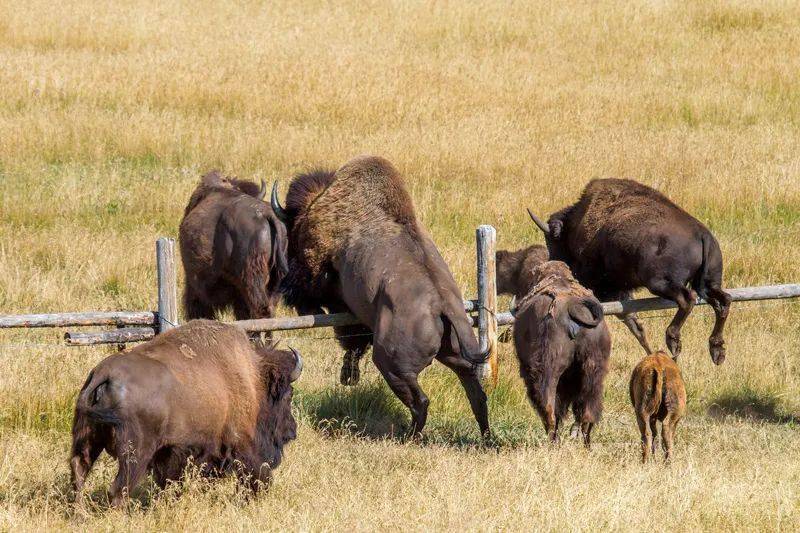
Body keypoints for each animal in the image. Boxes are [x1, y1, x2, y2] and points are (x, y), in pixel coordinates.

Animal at [67, 318, 300, 504]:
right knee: (118, 489)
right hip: (134, 454)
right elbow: (255, 471)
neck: (253, 380)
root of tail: (103, 373)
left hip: (87, 439)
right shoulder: (240, 443)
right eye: (289, 394)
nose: (292, 431)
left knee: (79, 472)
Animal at [272, 154, 490, 436]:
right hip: (455, 352)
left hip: (392, 364)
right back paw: (486, 436)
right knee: (475, 391)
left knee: (420, 400)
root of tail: (443, 307)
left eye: (293, 228)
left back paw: (409, 435)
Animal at [512, 260, 612, 446]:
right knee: (588, 409)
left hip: (549, 370)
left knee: (548, 405)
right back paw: (585, 443)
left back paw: (553, 440)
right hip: (593, 369)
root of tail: (573, 308)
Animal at [528, 177, 736, 364]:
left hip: (661, 283)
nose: (555, 263)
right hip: (709, 283)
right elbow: (632, 321)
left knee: (688, 300)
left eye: (553, 240)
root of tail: (702, 234)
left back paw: (673, 340)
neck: (579, 221)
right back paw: (717, 351)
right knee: (723, 301)